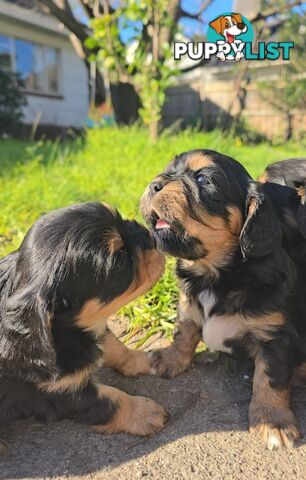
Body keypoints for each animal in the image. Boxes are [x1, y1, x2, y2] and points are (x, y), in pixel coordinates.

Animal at [0, 202, 167, 436]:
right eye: (120, 259)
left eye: (123, 220)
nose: (151, 235)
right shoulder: (63, 393)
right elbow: (113, 400)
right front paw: (145, 412)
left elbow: (115, 346)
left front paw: (144, 359)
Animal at [141, 150, 306, 450]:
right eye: (167, 172)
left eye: (203, 179)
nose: (154, 185)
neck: (213, 274)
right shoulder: (187, 301)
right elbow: (184, 331)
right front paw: (170, 359)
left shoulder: (275, 335)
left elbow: (269, 379)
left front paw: (272, 422)